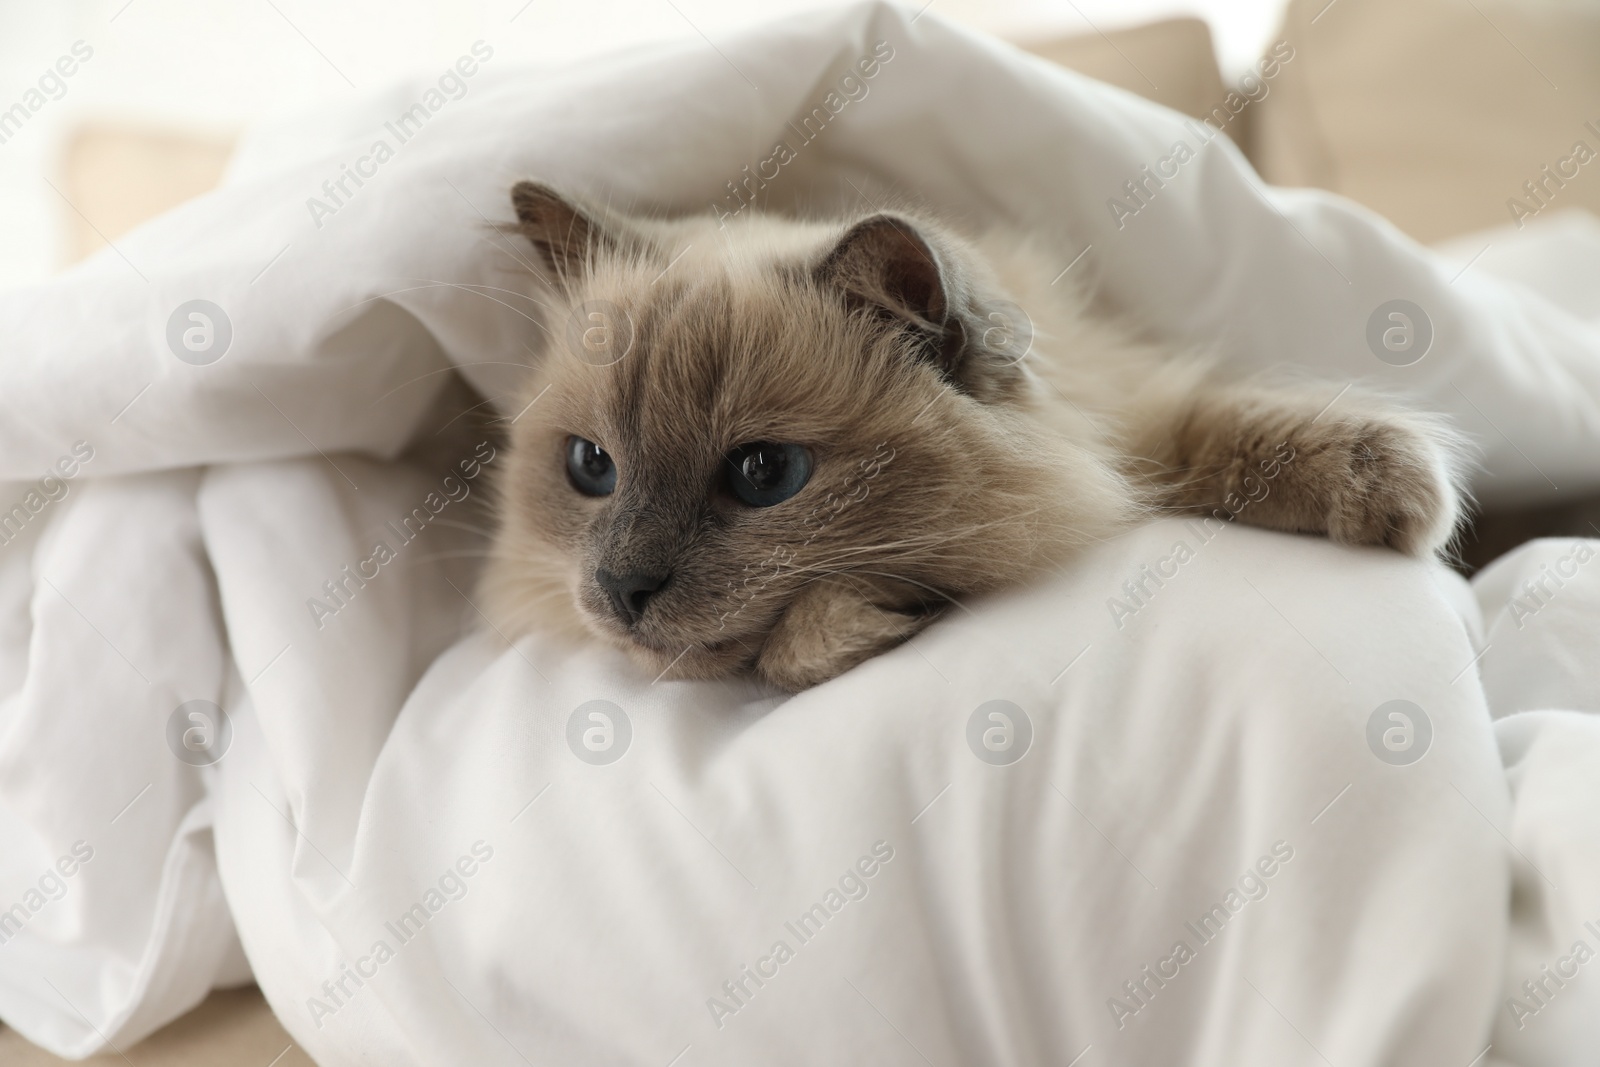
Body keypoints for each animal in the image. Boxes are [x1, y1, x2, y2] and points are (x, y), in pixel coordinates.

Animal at [480, 183, 1465, 694]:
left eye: (763, 472)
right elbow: (795, 656)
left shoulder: (1135, 415)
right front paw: (853, 623)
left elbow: (1230, 429)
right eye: (591, 468)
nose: (621, 589)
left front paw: (1400, 493)